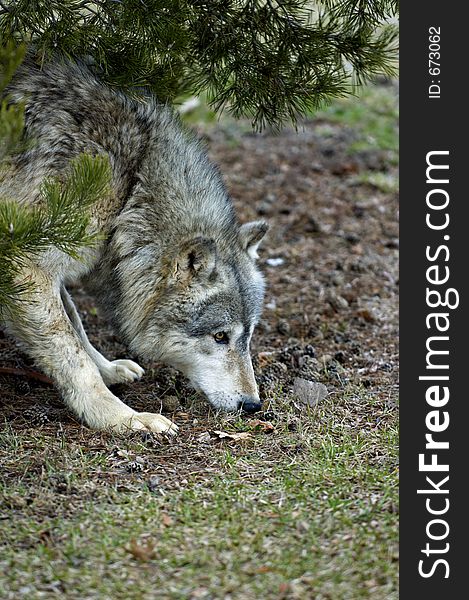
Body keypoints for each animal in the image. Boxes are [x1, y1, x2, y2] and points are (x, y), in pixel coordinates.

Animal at [0, 56, 266, 434]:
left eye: (249, 336)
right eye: (219, 337)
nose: (253, 405)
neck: (130, 183)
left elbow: (76, 326)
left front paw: (109, 369)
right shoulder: (26, 264)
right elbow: (72, 352)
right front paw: (120, 417)